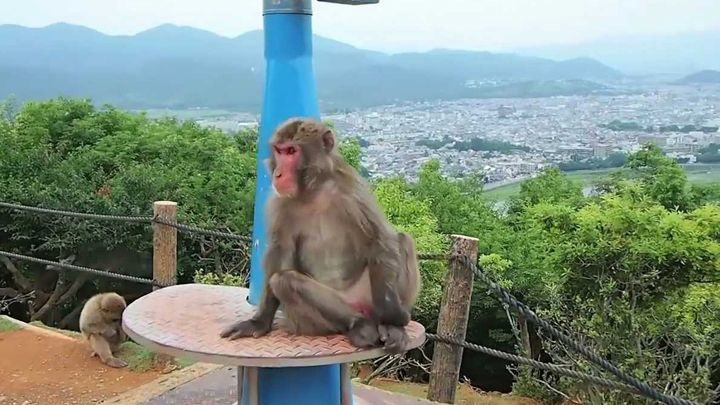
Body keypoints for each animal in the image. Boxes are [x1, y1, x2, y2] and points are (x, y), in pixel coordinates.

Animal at [221, 117, 422, 354]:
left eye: (292, 151)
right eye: (279, 151)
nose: (278, 174)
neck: (314, 190)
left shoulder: (352, 189)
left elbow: (380, 240)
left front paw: (392, 315)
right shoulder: (280, 203)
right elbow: (281, 254)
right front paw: (259, 322)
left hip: (368, 294)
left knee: (402, 240)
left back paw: (389, 326)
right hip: (315, 321)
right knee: (284, 281)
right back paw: (358, 325)